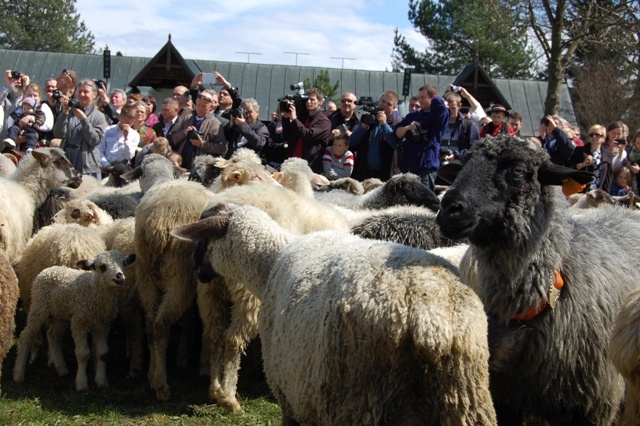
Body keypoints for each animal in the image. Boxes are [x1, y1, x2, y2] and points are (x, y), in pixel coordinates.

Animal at [13, 251, 135, 392]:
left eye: (123, 263)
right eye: (102, 267)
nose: (120, 277)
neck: (94, 291)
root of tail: (49, 269)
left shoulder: (103, 325)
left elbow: (102, 353)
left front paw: (101, 381)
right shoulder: (79, 322)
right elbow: (83, 354)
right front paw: (81, 384)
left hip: (60, 314)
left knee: (53, 335)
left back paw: (61, 369)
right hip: (39, 306)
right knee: (26, 336)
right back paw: (18, 373)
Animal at [170, 204, 496, 426]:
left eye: (202, 238)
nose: (194, 266)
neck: (270, 262)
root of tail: (429, 321)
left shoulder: (287, 393)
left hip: (355, 402)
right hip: (466, 402)